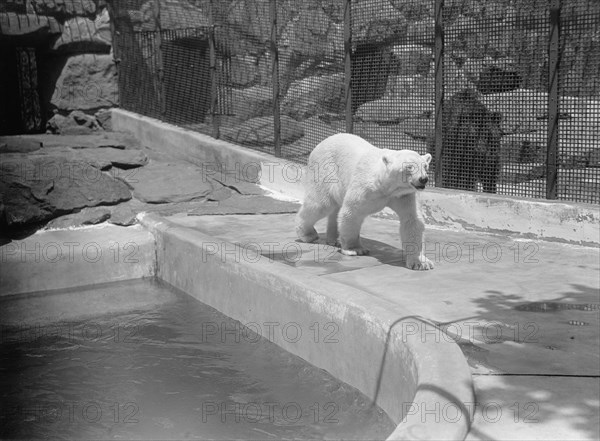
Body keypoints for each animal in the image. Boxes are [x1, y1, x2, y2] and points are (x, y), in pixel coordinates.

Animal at [296, 134, 434, 270]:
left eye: (425, 166)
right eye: (409, 167)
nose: (423, 179)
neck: (385, 186)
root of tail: (320, 144)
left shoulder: (403, 195)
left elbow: (412, 220)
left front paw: (421, 262)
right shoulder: (365, 188)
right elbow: (351, 212)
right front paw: (355, 249)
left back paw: (334, 239)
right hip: (325, 171)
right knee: (320, 204)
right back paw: (308, 234)